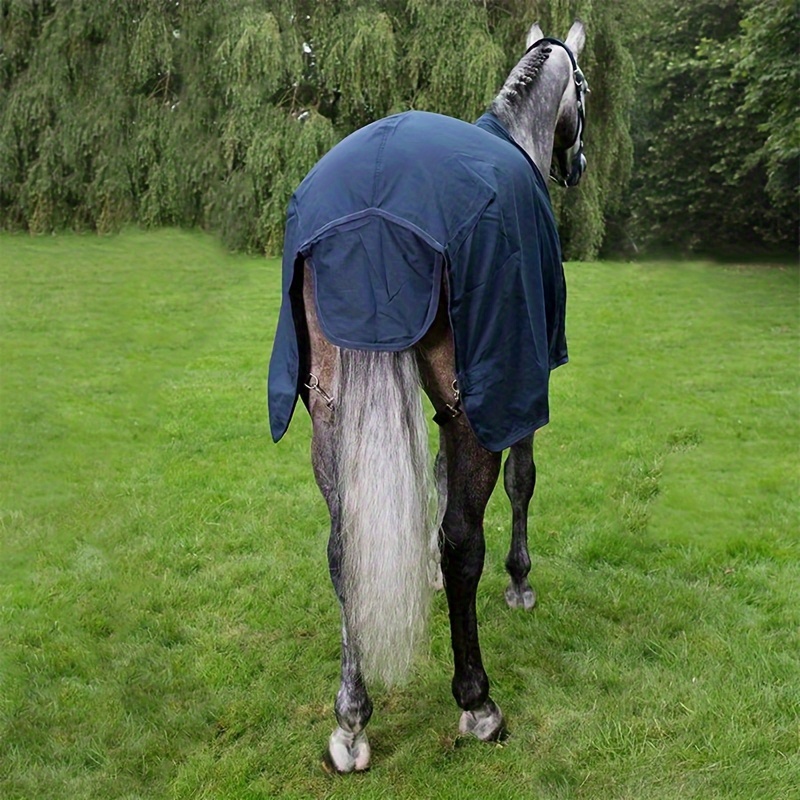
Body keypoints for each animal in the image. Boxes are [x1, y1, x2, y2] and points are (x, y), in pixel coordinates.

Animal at [268, 21, 588, 772]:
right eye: (584, 91)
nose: (578, 164)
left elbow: (436, 480)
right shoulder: (516, 387)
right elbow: (521, 484)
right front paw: (519, 583)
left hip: (330, 409)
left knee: (343, 548)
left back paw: (351, 721)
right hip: (476, 399)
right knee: (461, 539)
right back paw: (478, 703)